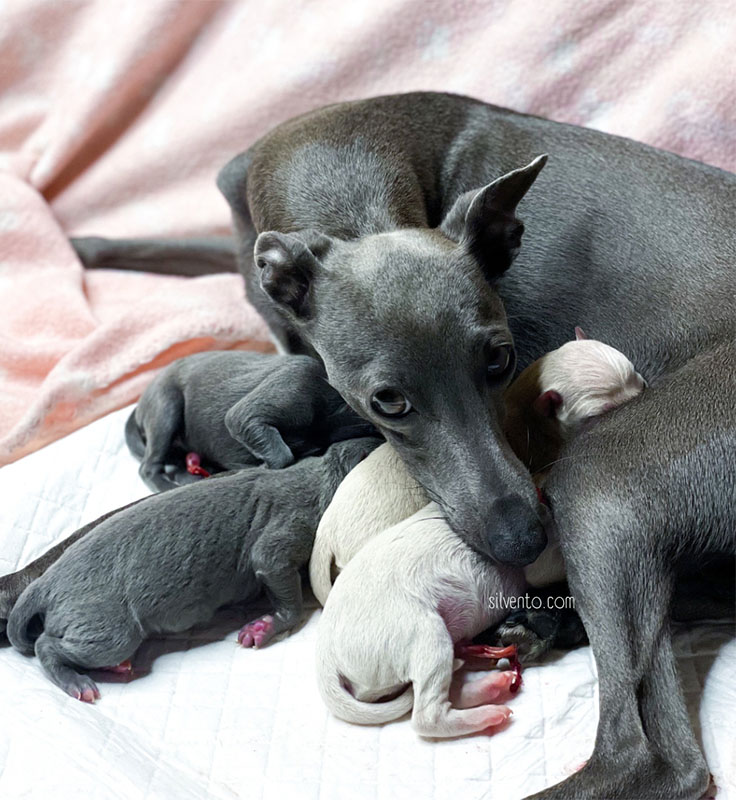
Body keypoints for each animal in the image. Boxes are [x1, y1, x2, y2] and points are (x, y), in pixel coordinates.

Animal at [6, 437, 379, 701]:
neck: (325, 473)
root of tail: (42, 585)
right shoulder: (297, 520)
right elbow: (270, 563)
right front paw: (262, 627)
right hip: (105, 623)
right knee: (48, 645)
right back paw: (78, 683)